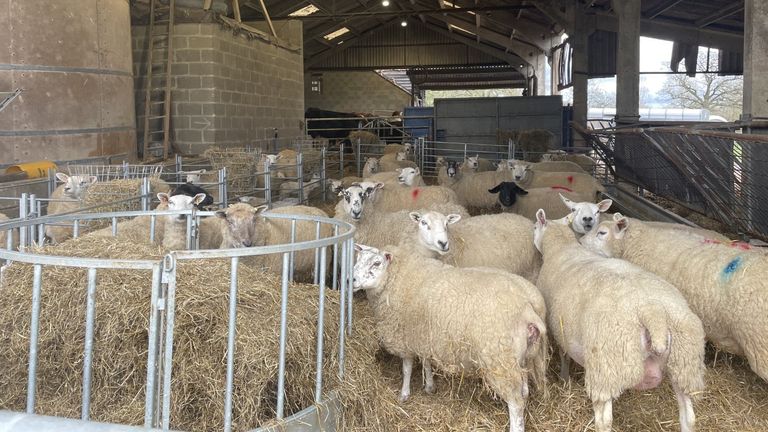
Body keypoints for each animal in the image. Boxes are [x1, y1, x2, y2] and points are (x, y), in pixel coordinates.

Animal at [352, 243, 544, 432]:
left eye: (376, 263)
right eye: (357, 259)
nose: (351, 280)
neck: (397, 277)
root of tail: (528, 304)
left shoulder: (405, 337)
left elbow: (407, 368)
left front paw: (404, 394)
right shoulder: (424, 335)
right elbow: (426, 361)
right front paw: (429, 386)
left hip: (499, 361)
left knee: (515, 402)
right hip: (522, 358)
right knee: (524, 392)